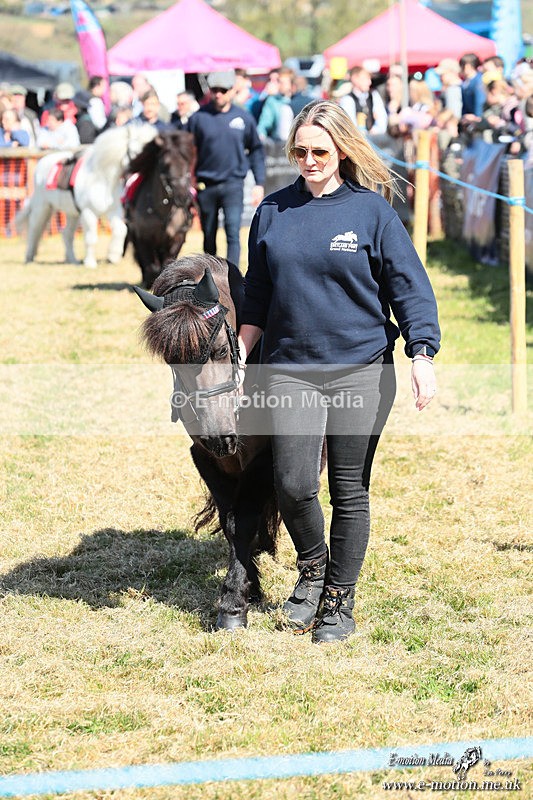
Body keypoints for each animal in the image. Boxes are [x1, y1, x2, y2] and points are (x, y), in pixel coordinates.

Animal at [16, 123, 157, 268]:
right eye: (138, 152)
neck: (102, 179)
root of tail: (42, 162)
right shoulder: (88, 212)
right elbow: (91, 238)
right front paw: (90, 262)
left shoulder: (113, 211)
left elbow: (120, 230)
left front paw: (113, 256)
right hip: (42, 207)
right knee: (34, 229)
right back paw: (29, 258)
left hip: (72, 213)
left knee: (66, 234)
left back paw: (73, 260)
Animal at [124, 129, 195, 288]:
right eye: (166, 164)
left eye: (186, 162)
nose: (183, 198)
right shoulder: (143, 238)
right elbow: (151, 266)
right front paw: (150, 280)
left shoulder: (177, 237)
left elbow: (168, 264)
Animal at [134, 253, 279, 630]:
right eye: (172, 362)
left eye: (220, 349)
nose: (219, 436)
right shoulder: (207, 458)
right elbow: (230, 524)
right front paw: (249, 586)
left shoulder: (261, 458)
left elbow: (243, 523)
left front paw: (233, 605)